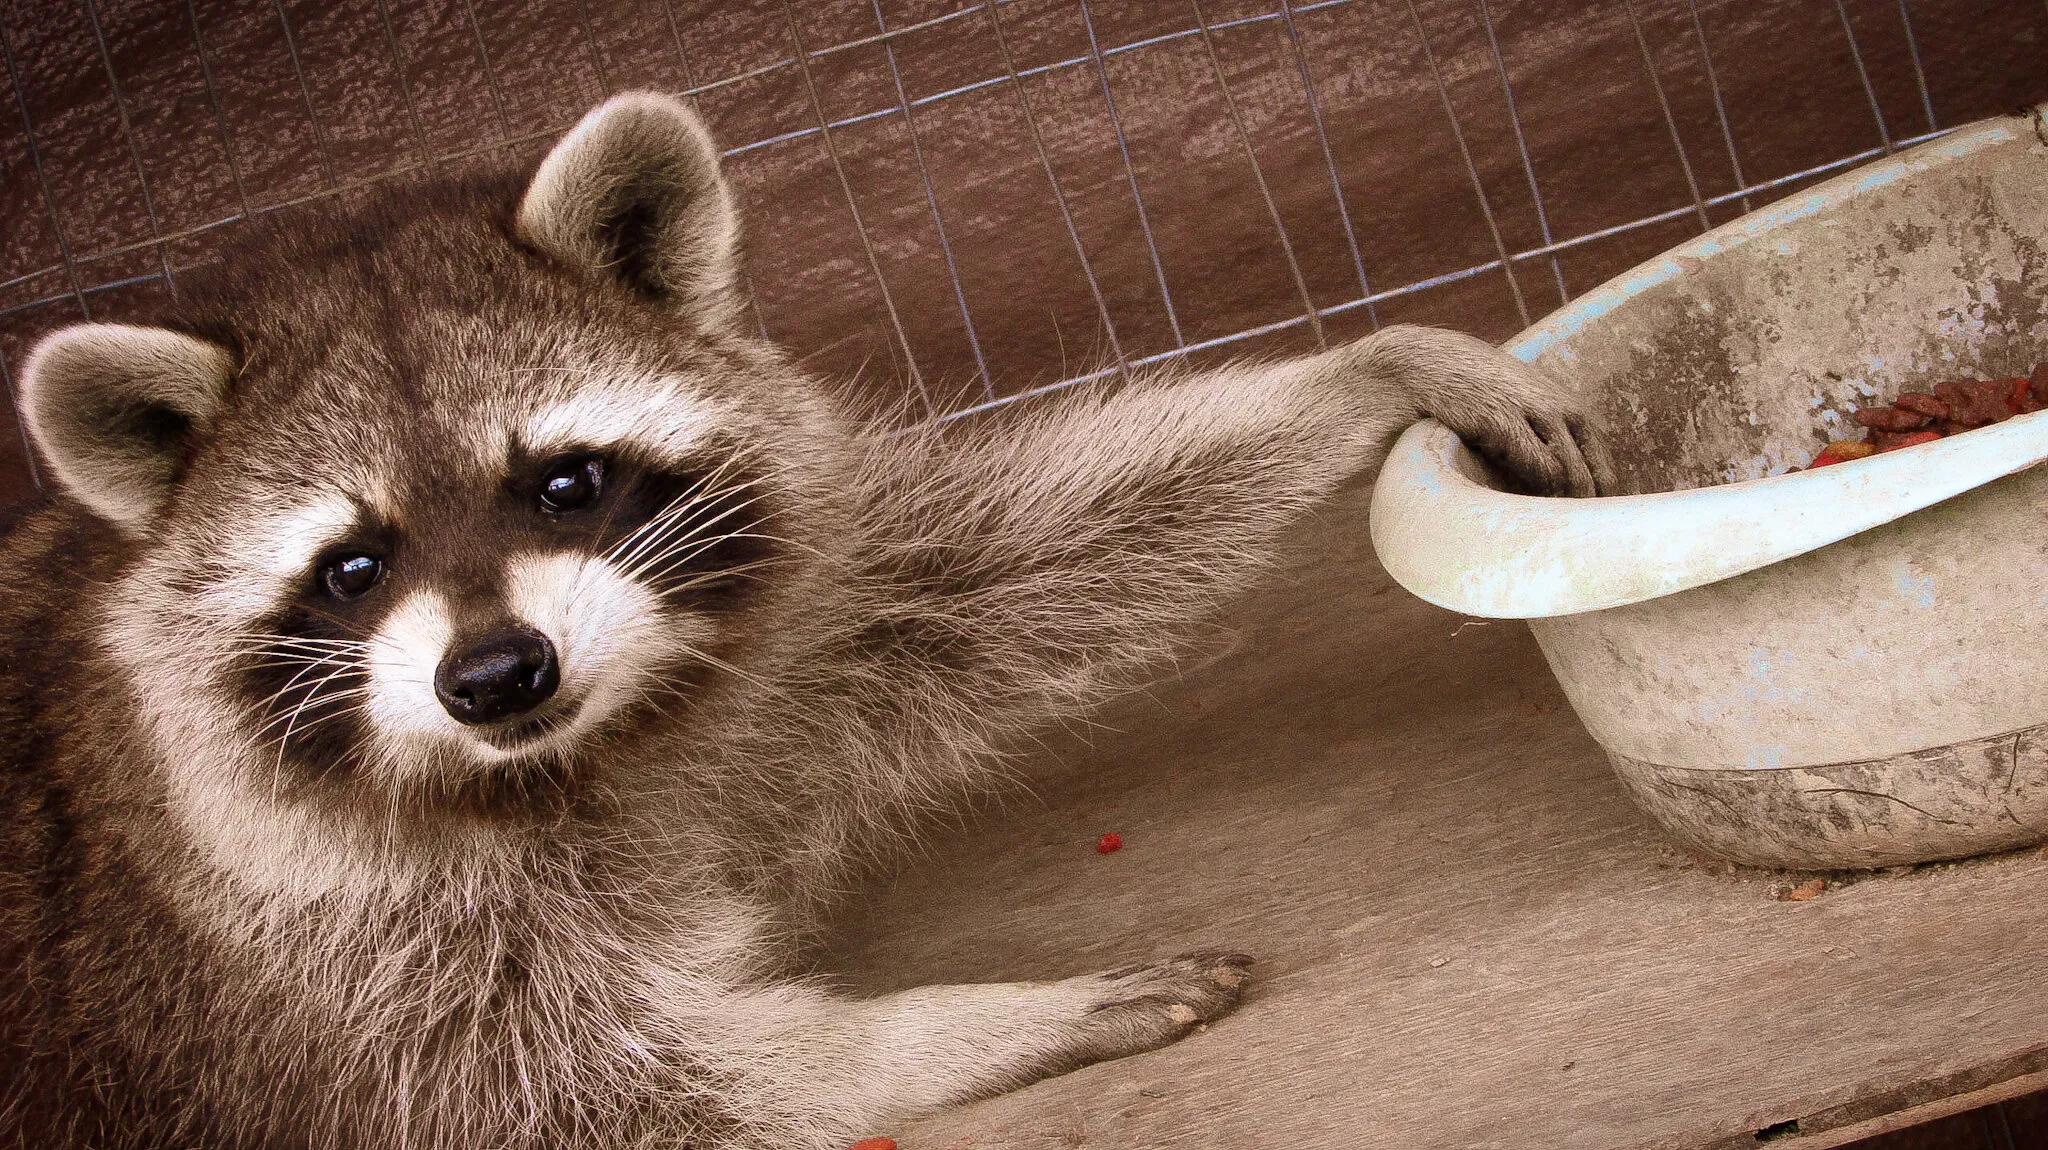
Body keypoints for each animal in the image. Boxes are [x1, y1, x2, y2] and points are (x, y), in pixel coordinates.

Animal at [0, 93, 1609, 1149]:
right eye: (349, 568)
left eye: (564, 481)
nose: (497, 672)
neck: (561, 758)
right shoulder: (299, 961)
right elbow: (581, 1093)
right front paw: (947, 1033)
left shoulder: (776, 629)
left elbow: (982, 582)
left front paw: (1352, 379)